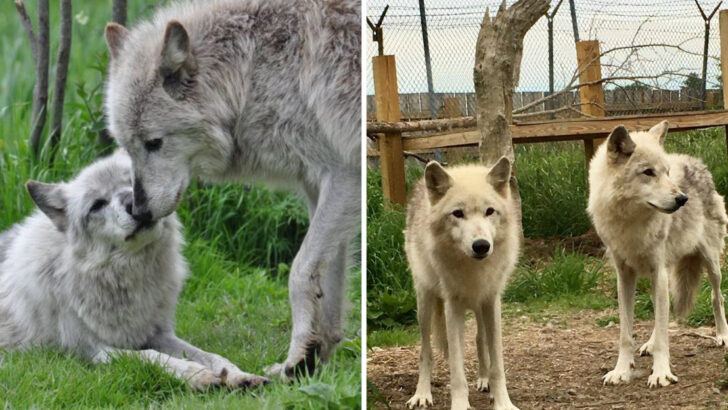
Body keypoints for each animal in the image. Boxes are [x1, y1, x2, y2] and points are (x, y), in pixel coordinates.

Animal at [0, 150, 267, 390]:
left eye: (133, 184)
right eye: (97, 205)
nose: (133, 203)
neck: (127, 277)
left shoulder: (159, 334)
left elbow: (212, 356)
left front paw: (237, 375)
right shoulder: (94, 350)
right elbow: (152, 355)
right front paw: (198, 376)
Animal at [102, 0, 360, 380]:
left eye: (154, 143)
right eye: (128, 148)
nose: (140, 211)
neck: (255, 71)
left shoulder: (345, 174)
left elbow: (300, 272)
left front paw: (298, 358)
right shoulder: (319, 184)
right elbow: (325, 285)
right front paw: (314, 358)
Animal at [405, 158, 520, 410]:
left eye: (489, 211)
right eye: (457, 213)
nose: (481, 245)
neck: (473, 269)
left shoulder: (491, 301)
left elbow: (497, 365)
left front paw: (502, 402)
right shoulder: (453, 306)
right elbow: (456, 370)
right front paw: (459, 403)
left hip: (479, 308)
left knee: (479, 339)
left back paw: (484, 381)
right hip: (425, 304)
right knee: (425, 351)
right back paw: (422, 394)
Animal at [588, 121, 728, 388]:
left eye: (666, 172)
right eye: (648, 172)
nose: (682, 198)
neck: (632, 223)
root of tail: (694, 160)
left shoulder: (658, 271)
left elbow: (664, 332)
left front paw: (661, 373)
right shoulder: (625, 276)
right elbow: (626, 333)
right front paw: (621, 370)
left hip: (710, 263)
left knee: (717, 297)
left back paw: (722, 335)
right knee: (660, 310)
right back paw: (650, 343)